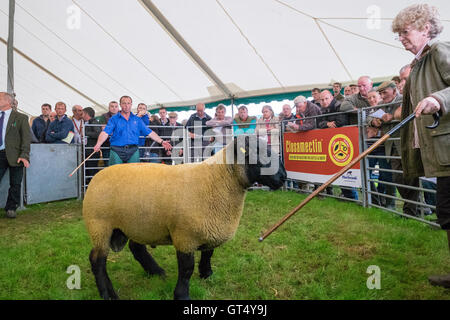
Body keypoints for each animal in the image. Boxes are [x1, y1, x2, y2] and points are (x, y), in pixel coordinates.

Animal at [82, 136, 286, 300]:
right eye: (256, 151)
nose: (283, 176)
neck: (217, 179)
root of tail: (97, 176)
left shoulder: (209, 229)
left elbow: (208, 254)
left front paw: (207, 275)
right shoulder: (184, 237)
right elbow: (187, 269)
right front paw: (182, 295)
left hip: (136, 224)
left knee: (136, 248)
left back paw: (156, 272)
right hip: (100, 225)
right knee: (97, 261)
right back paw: (108, 294)